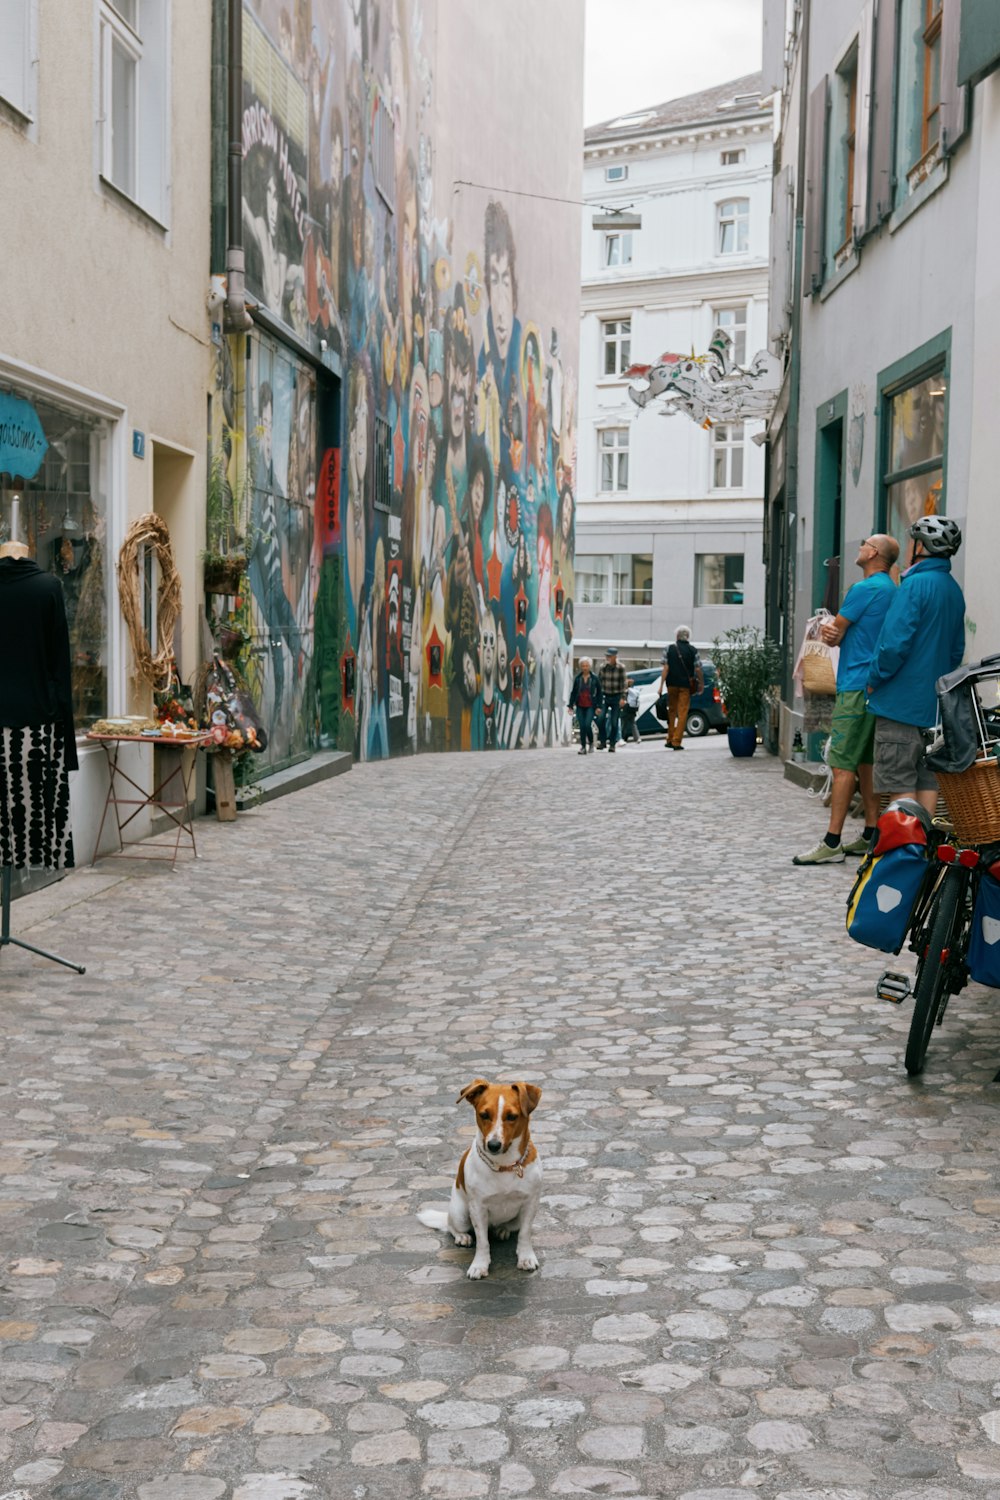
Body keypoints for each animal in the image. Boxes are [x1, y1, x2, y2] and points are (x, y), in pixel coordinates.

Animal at [416, 1080, 542, 1278]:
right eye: (484, 1115)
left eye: (511, 1116)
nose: (493, 1145)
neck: (504, 1165)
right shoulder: (477, 1208)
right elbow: (483, 1242)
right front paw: (480, 1265)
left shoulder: (530, 1204)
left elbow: (524, 1234)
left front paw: (526, 1257)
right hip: (460, 1214)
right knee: (452, 1226)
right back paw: (462, 1236)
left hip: (516, 1218)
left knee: (511, 1227)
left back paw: (502, 1230)